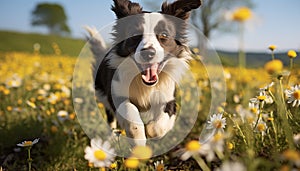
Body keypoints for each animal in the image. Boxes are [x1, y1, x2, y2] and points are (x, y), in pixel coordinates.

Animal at [88, 0, 203, 146]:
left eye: (164, 35)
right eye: (134, 34)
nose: (148, 53)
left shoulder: (169, 96)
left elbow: (159, 126)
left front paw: (150, 129)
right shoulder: (116, 93)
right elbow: (129, 111)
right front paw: (138, 139)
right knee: (111, 119)